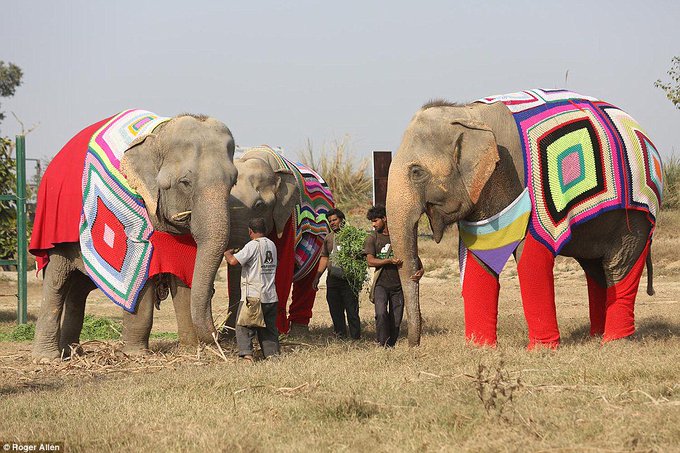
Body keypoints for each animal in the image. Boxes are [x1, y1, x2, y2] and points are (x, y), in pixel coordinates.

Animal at [29, 109, 239, 360]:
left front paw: (190, 351)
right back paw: (47, 358)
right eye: (185, 182)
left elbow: (184, 275)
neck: (158, 135)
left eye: (234, 182)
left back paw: (73, 353)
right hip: (54, 232)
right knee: (57, 282)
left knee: (79, 290)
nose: (222, 339)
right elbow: (139, 275)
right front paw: (136, 355)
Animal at [223, 147, 332, 334]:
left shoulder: (287, 218)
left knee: (309, 277)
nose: (225, 333)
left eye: (259, 206)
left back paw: (298, 332)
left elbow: (281, 263)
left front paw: (276, 329)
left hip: (320, 238)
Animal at [388, 90, 664, 348]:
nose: (413, 345)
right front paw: (479, 347)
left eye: (416, 172)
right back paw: (596, 335)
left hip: (637, 215)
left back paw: (614, 341)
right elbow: (475, 257)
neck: (468, 113)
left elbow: (531, 254)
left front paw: (541, 350)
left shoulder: (529, 191)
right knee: (594, 269)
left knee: (619, 264)